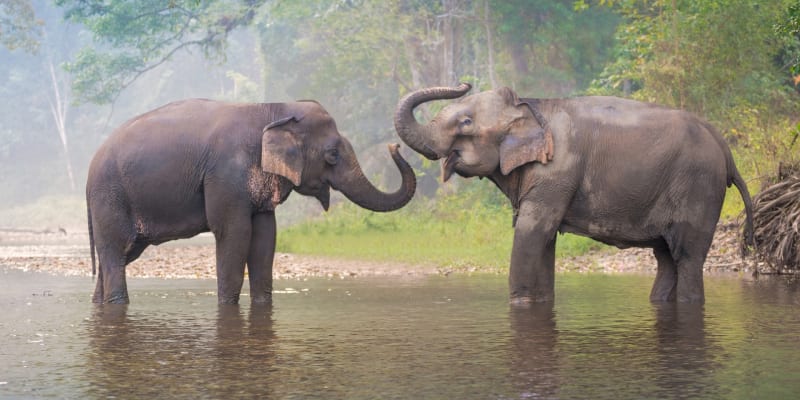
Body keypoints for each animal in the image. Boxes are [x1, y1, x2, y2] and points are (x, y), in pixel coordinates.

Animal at [86, 98, 416, 304]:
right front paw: (227, 306)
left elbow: (265, 237)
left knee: (120, 255)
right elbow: (234, 233)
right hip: (110, 196)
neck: (273, 109)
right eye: (332, 154)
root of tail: (90, 166)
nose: (394, 146)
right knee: (115, 252)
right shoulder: (225, 175)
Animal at [394, 83, 754, 304]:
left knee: (687, 256)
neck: (531, 106)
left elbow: (531, 233)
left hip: (699, 187)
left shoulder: (557, 171)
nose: (464, 82)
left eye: (466, 122)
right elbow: (544, 240)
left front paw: (520, 303)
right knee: (665, 257)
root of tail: (725, 148)